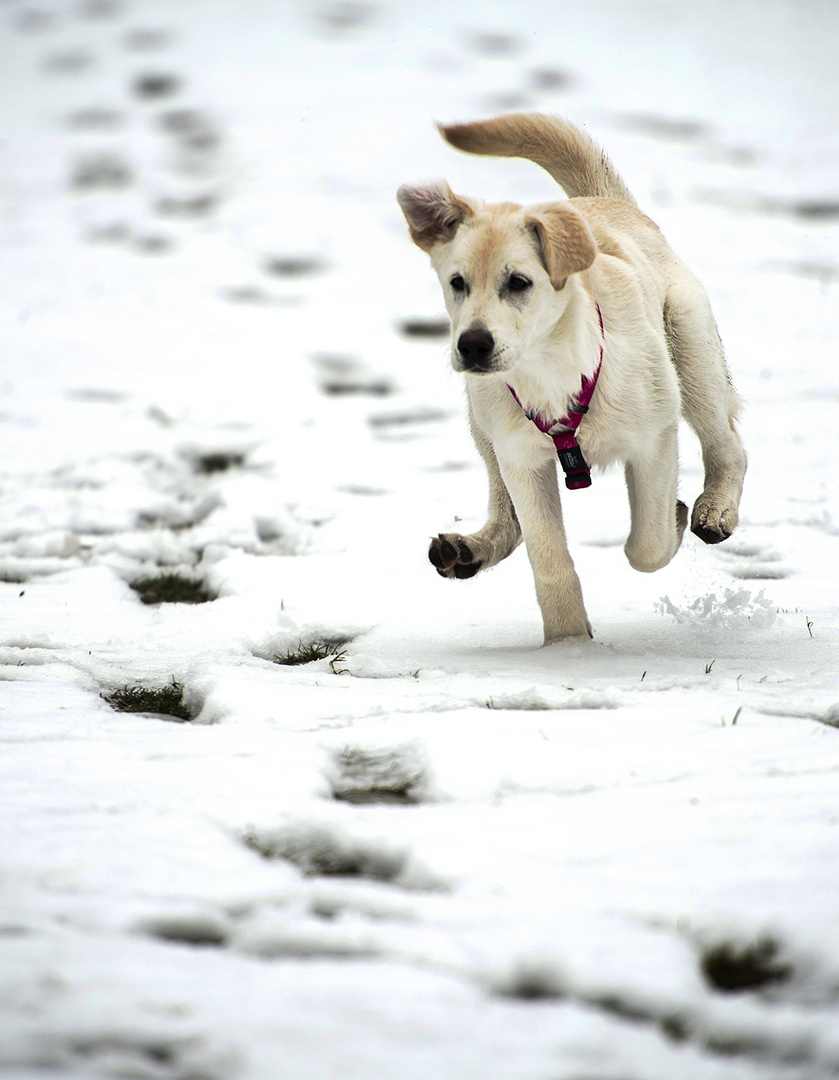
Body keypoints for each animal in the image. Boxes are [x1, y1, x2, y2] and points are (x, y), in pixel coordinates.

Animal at [397, 116, 747, 639]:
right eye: (457, 282)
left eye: (519, 282)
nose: (473, 345)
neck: (551, 372)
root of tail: (607, 202)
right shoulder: (522, 459)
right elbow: (549, 560)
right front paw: (567, 644)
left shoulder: (654, 441)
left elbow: (646, 545)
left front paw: (674, 519)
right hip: (482, 422)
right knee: (508, 519)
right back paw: (467, 550)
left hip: (691, 346)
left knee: (728, 446)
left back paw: (713, 509)